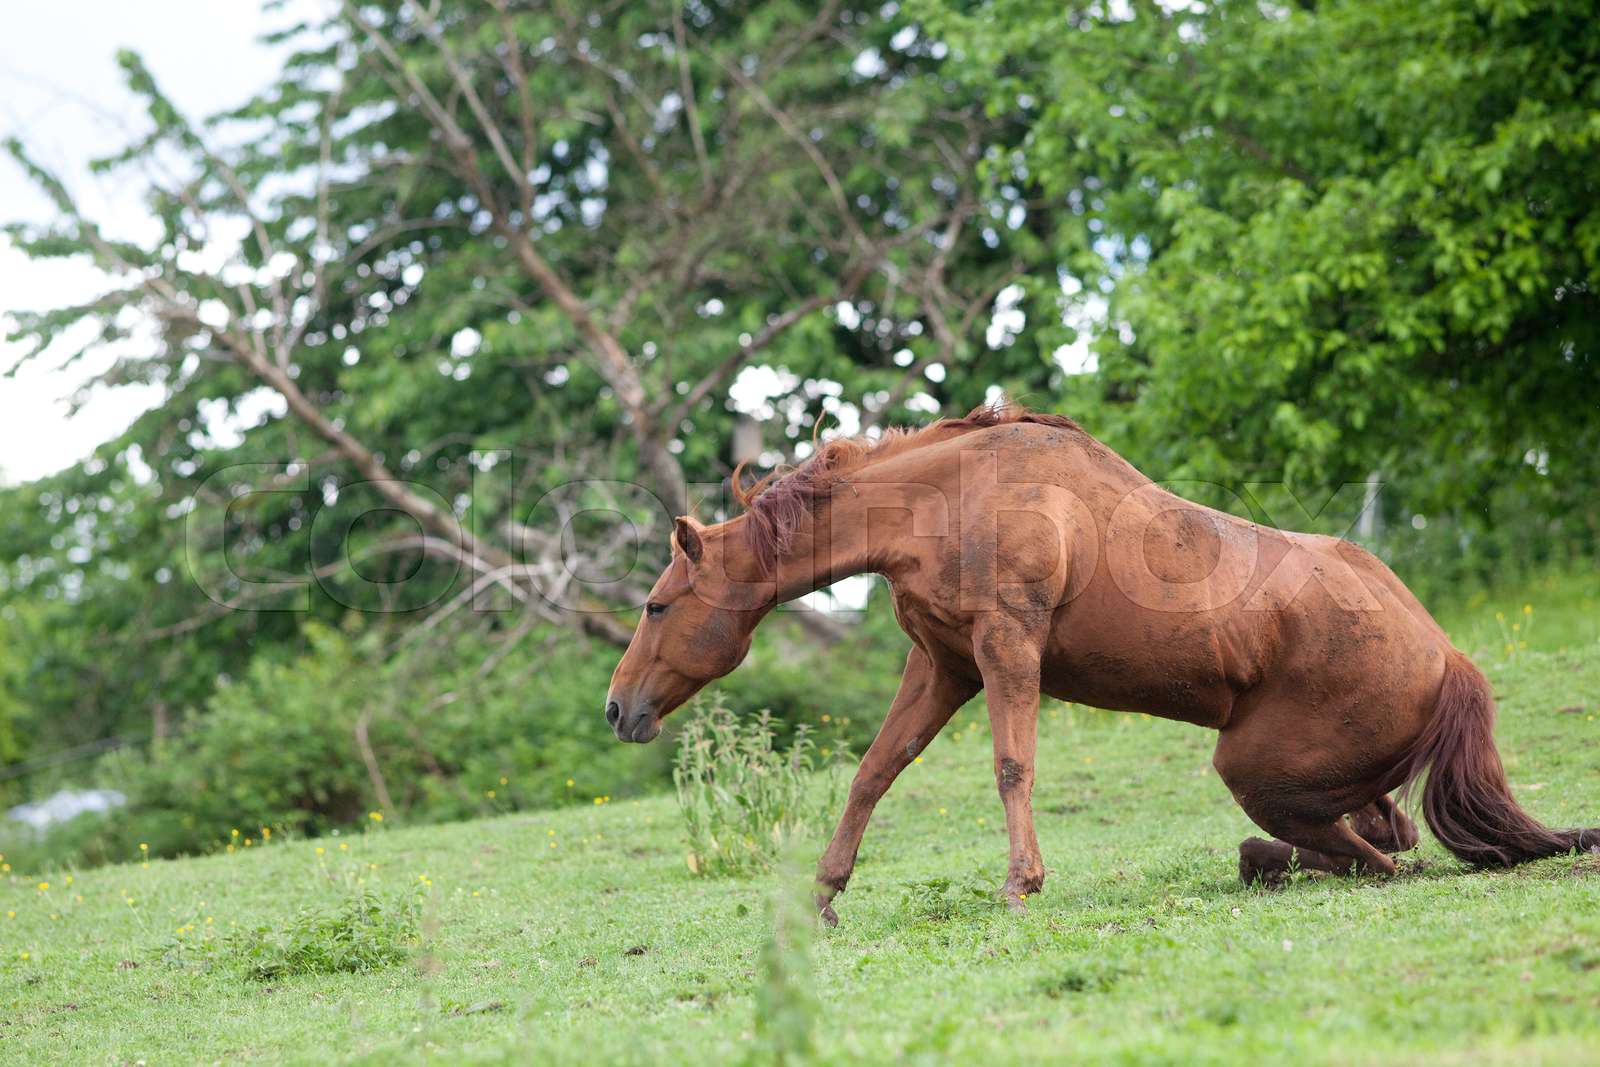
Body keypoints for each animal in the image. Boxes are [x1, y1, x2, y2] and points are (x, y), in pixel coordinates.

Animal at [604, 403, 1595, 924]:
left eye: (656, 605)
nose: (619, 710)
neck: (948, 496)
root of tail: (1449, 658)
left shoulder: (1006, 646)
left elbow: (1012, 766)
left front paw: (1021, 881)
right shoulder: (944, 665)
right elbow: (873, 771)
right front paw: (825, 891)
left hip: (1251, 767)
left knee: (1382, 859)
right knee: (1381, 838)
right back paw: (1266, 861)